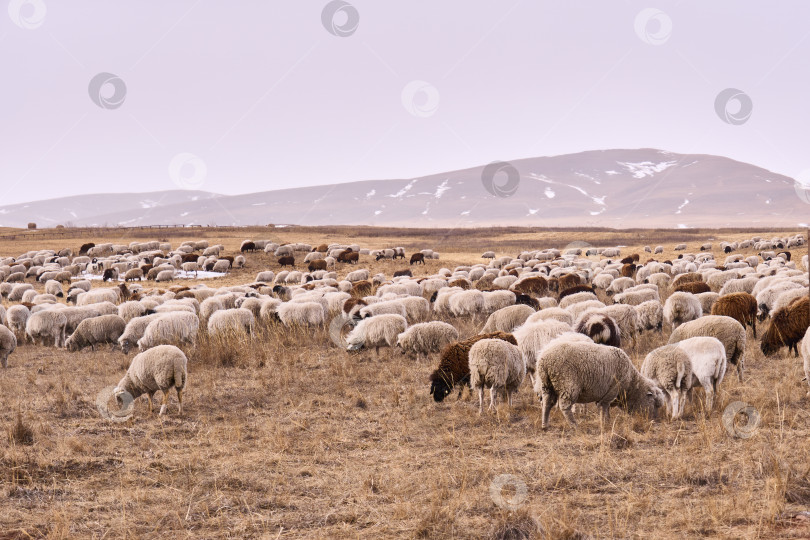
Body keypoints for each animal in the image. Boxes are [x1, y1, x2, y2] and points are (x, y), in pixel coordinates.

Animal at [532, 342, 664, 430]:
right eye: (654, 403)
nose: (655, 421)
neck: (631, 385)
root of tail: (545, 360)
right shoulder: (612, 389)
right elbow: (604, 407)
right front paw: (605, 423)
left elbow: (605, 407)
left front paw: (607, 420)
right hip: (567, 383)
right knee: (565, 406)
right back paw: (574, 425)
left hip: (547, 384)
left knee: (547, 403)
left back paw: (545, 425)